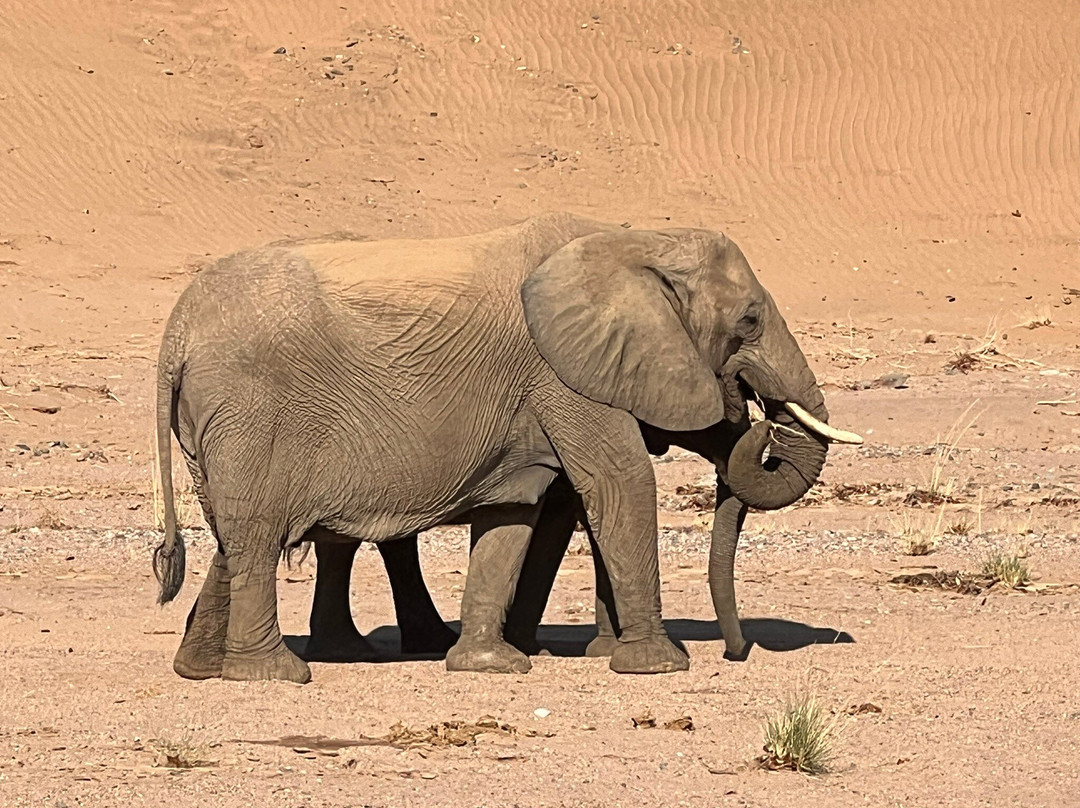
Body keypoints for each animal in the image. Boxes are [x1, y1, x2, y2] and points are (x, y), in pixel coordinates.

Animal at [152, 212, 859, 682]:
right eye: (749, 321)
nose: (739, 651)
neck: (635, 237)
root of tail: (176, 331)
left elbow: (517, 513)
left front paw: (494, 664)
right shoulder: (562, 373)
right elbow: (619, 483)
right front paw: (657, 667)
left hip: (218, 427)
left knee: (237, 537)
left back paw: (202, 667)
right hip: (249, 413)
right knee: (257, 532)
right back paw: (277, 673)